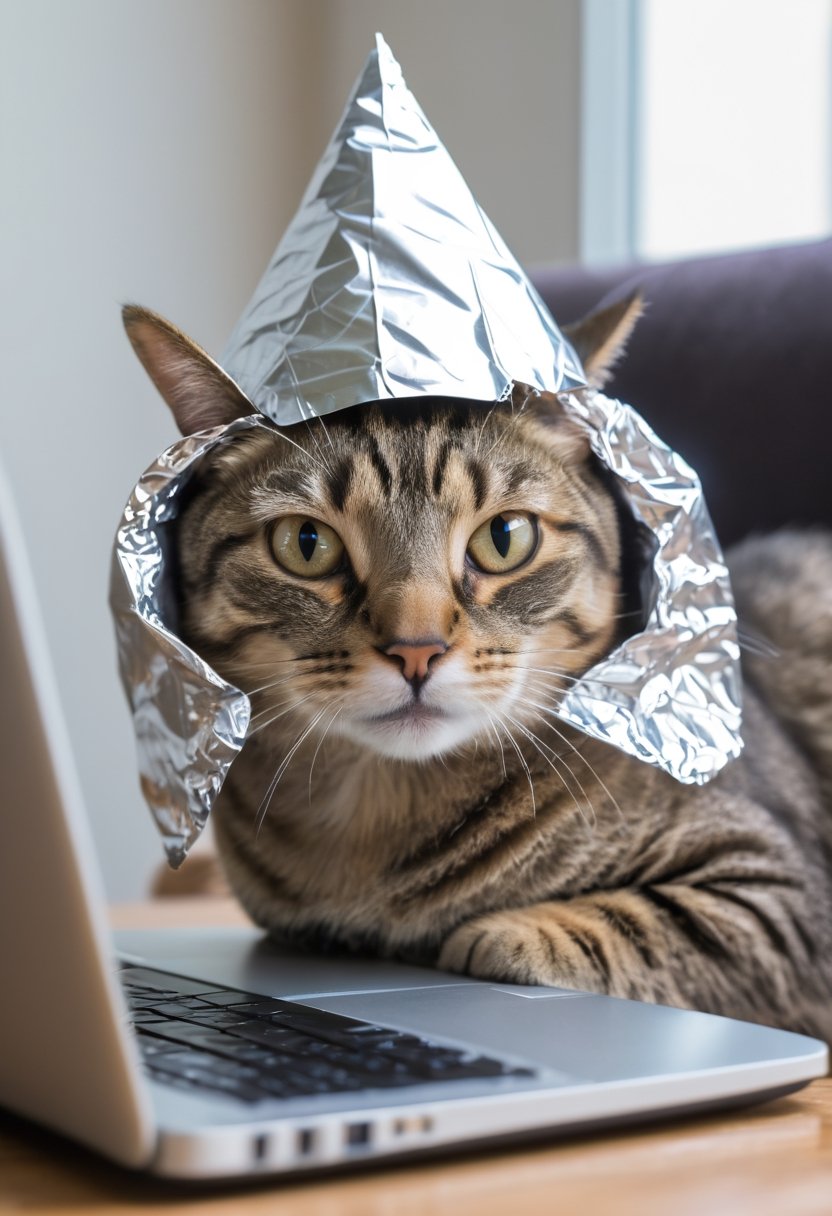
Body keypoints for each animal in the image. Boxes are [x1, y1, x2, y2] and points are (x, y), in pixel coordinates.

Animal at [121, 299, 832, 1040]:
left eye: (504, 538)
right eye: (306, 544)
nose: (416, 648)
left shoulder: (778, 895)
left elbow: (633, 922)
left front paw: (501, 935)